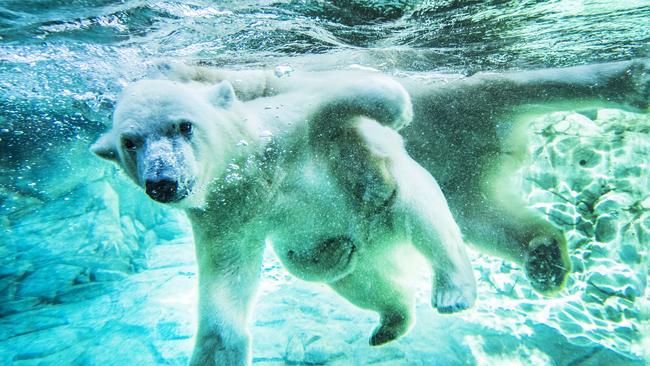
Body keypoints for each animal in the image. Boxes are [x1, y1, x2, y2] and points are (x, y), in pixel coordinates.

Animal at [91, 73, 476, 364]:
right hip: (356, 257)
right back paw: (388, 319)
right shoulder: (225, 216)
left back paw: (452, 291)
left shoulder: (282, 129)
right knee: (359, 282)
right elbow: (226, 287)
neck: (249, 173)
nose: (162, 182)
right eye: (130, 142)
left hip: (389, 209)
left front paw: (397, 110)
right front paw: (219, 349)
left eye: (184, 126)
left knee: (422, 212)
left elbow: (332, 100)